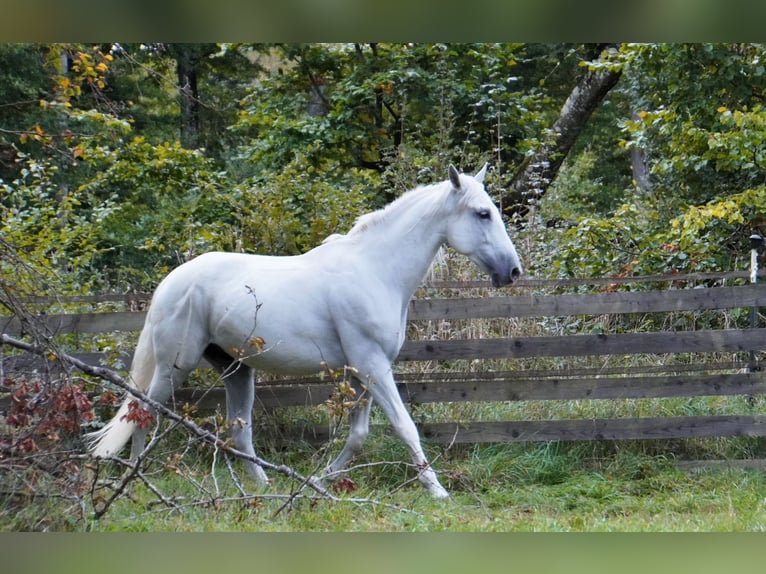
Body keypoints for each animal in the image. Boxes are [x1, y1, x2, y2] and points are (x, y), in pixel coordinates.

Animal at [86, 164, 522, 498]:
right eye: (482, 213)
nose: (513, 271)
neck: (375, 270)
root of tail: (171, 282)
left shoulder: (362, 372)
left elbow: (358, 434)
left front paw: (321, 481)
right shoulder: (372, 365)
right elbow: (405, 426)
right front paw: (437, 490)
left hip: (236, 369)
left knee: (238, 431)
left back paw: (263, 486)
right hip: (176, 364)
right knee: (143, 411)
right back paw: (132, 478)